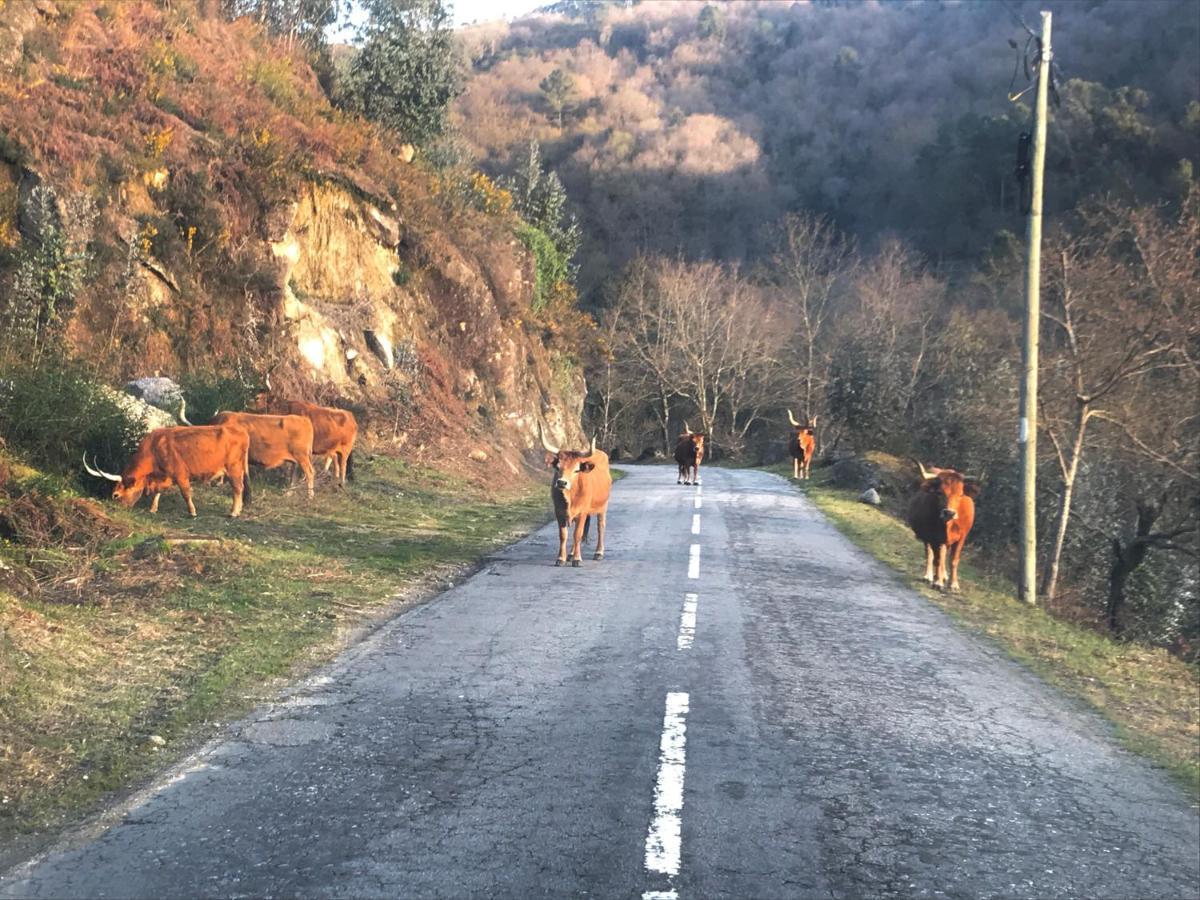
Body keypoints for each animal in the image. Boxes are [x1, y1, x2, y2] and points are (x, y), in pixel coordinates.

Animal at [547, 427, 614, 566]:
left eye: (576, 470)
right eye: (558, 467)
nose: (562, 482)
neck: (570, 497)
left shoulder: (582, 513)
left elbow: (577, 534)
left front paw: (577, 559)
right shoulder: (559, 512)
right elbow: (563, 535)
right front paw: (561, 558)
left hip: (603, 507)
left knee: (600, 527)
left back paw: (598, 552)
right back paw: (571, 554)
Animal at [902, 460, 979, 595]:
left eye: (960, 494)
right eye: (939, 493)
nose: (949, 513)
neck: (948, 525)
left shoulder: (962, 538)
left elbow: (954, 560)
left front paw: (954, 584)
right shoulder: (934, 538)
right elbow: (937, 559)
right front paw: (938, 582)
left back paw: (944, 576)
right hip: (928, 538)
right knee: (930, 554)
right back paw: (930, 576)